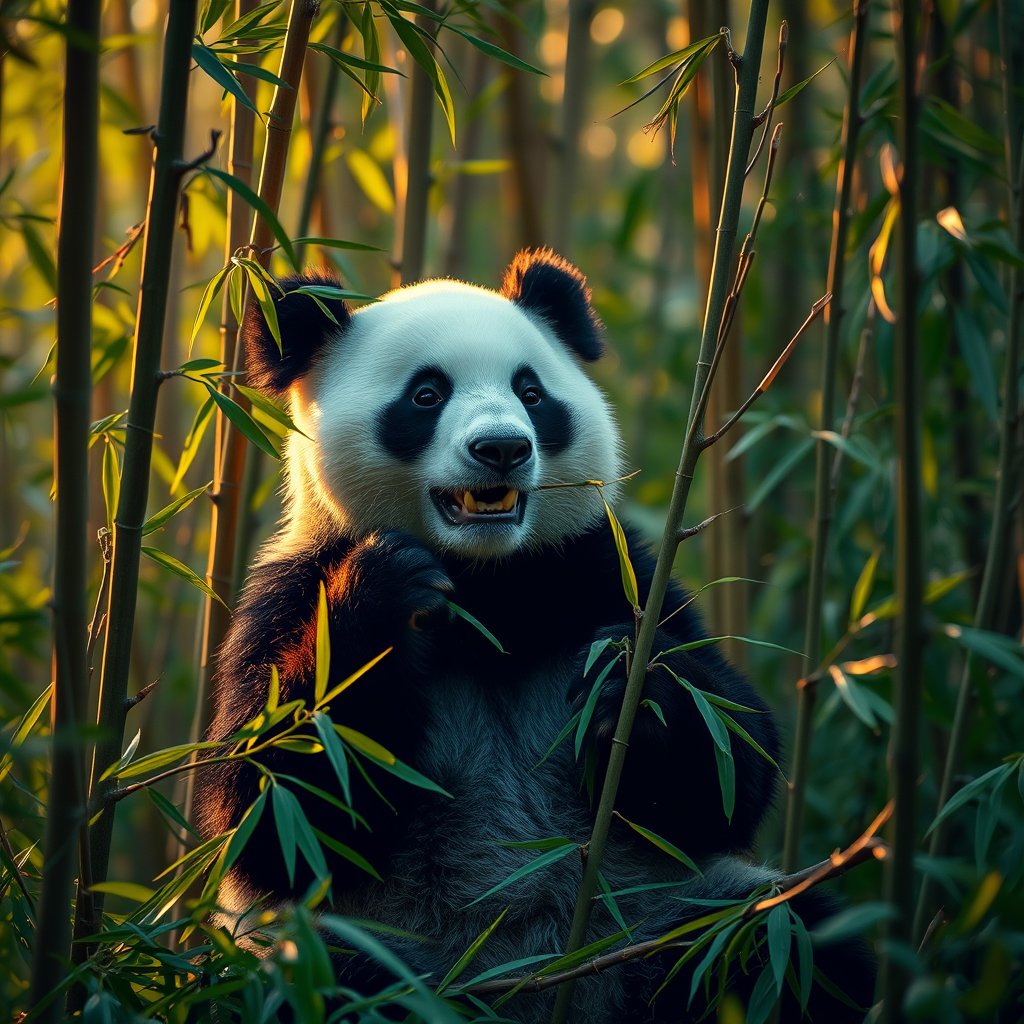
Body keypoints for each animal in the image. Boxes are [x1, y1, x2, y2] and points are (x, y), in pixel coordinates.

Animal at [194, 250, 875, 1022]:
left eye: (532, 392)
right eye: (425, 395)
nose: (501, 448)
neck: (490, 581)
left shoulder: (608, 573)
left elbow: (731, 764)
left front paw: (628, 693)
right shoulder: (285, 593)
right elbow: (271, 809)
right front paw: (383, 592)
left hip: (675, 919)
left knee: (791, 947)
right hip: (370, 953)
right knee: (317, 986)